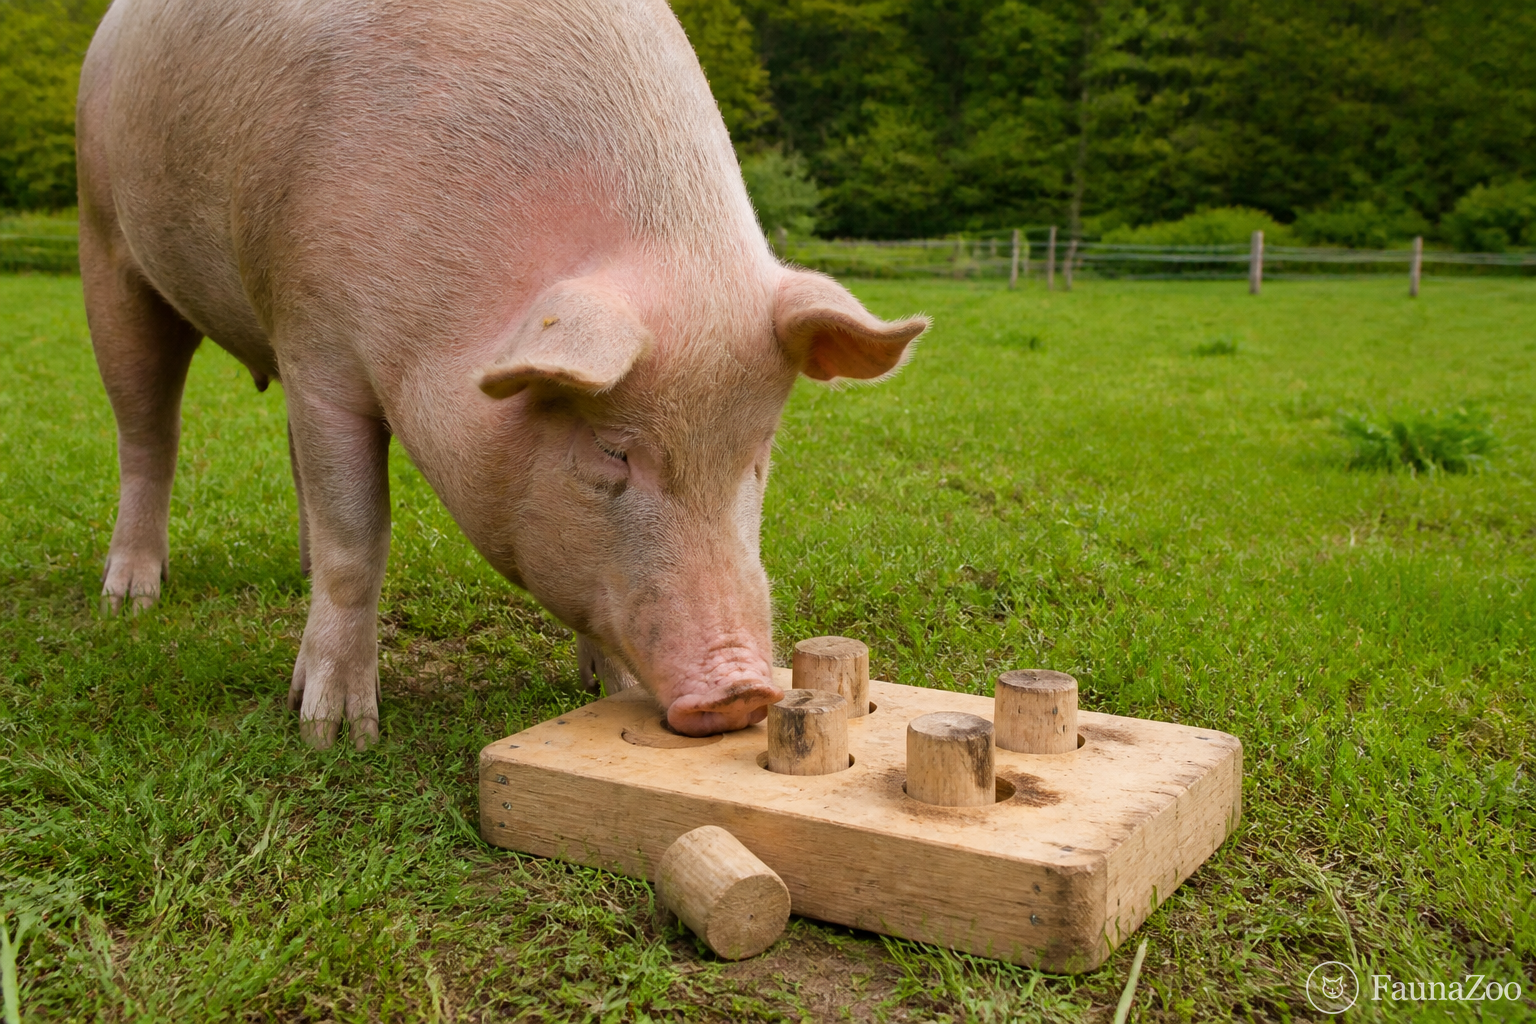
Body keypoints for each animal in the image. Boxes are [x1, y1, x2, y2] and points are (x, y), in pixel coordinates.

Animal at [77, 0, 927, 749]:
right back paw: (129, 602)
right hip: (105, 237)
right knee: (147, 431)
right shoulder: (316, 338)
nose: (743, 690)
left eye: (757, 455)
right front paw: (334, 734)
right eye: (612, 451)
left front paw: (608, 692)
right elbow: (360, 537)